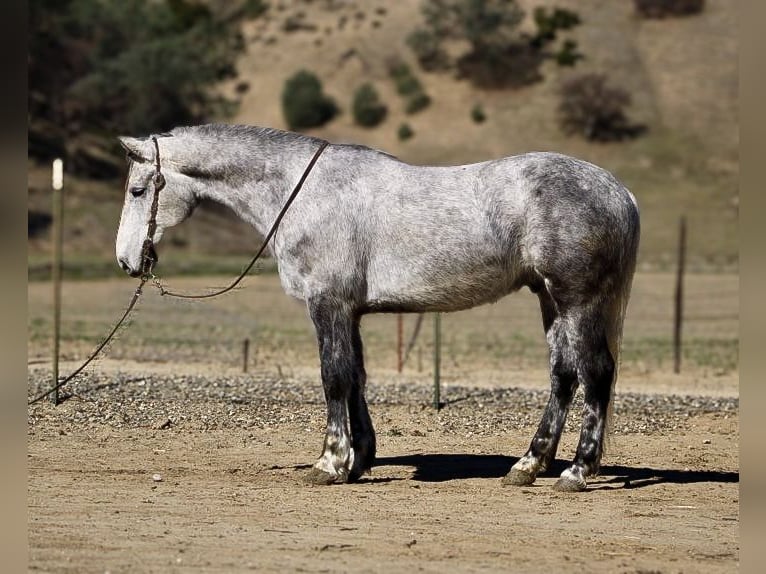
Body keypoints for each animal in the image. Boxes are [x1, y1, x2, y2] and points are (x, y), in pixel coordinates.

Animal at [116, 124, 640, 492]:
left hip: (577, 301)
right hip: (551, 300)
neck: (304, 192)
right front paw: (359, 459)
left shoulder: (327, 304)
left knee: (595, 373)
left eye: (138, 190)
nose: (126, 260)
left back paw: (577, 471)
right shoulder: (350, 311)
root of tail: (620, 192)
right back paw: (529, 465)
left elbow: (333, 377)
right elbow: (356, 378)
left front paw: (329, 463)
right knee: (563, 376)